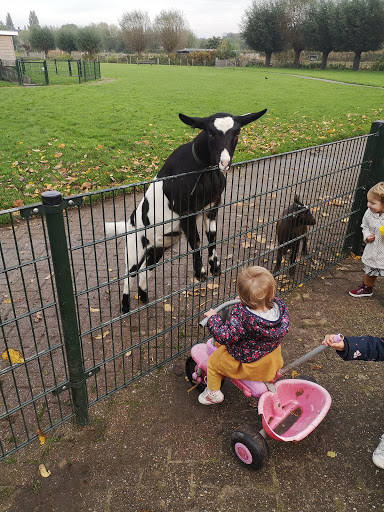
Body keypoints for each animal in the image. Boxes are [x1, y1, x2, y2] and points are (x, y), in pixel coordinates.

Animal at [105, 110, 268, 312]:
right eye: (210, 133)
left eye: (237, 133)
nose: (224, 163)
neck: (202, 171)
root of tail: (128, 223)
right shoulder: (185, 212)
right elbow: (196, 239)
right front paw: (201, 272)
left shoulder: (212, 205)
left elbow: (211, 235)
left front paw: (215, 267)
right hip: (134, 246)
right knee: (129, 273)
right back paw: (125, 305)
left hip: (158, 247)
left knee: (145, 269)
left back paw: (143, 296)